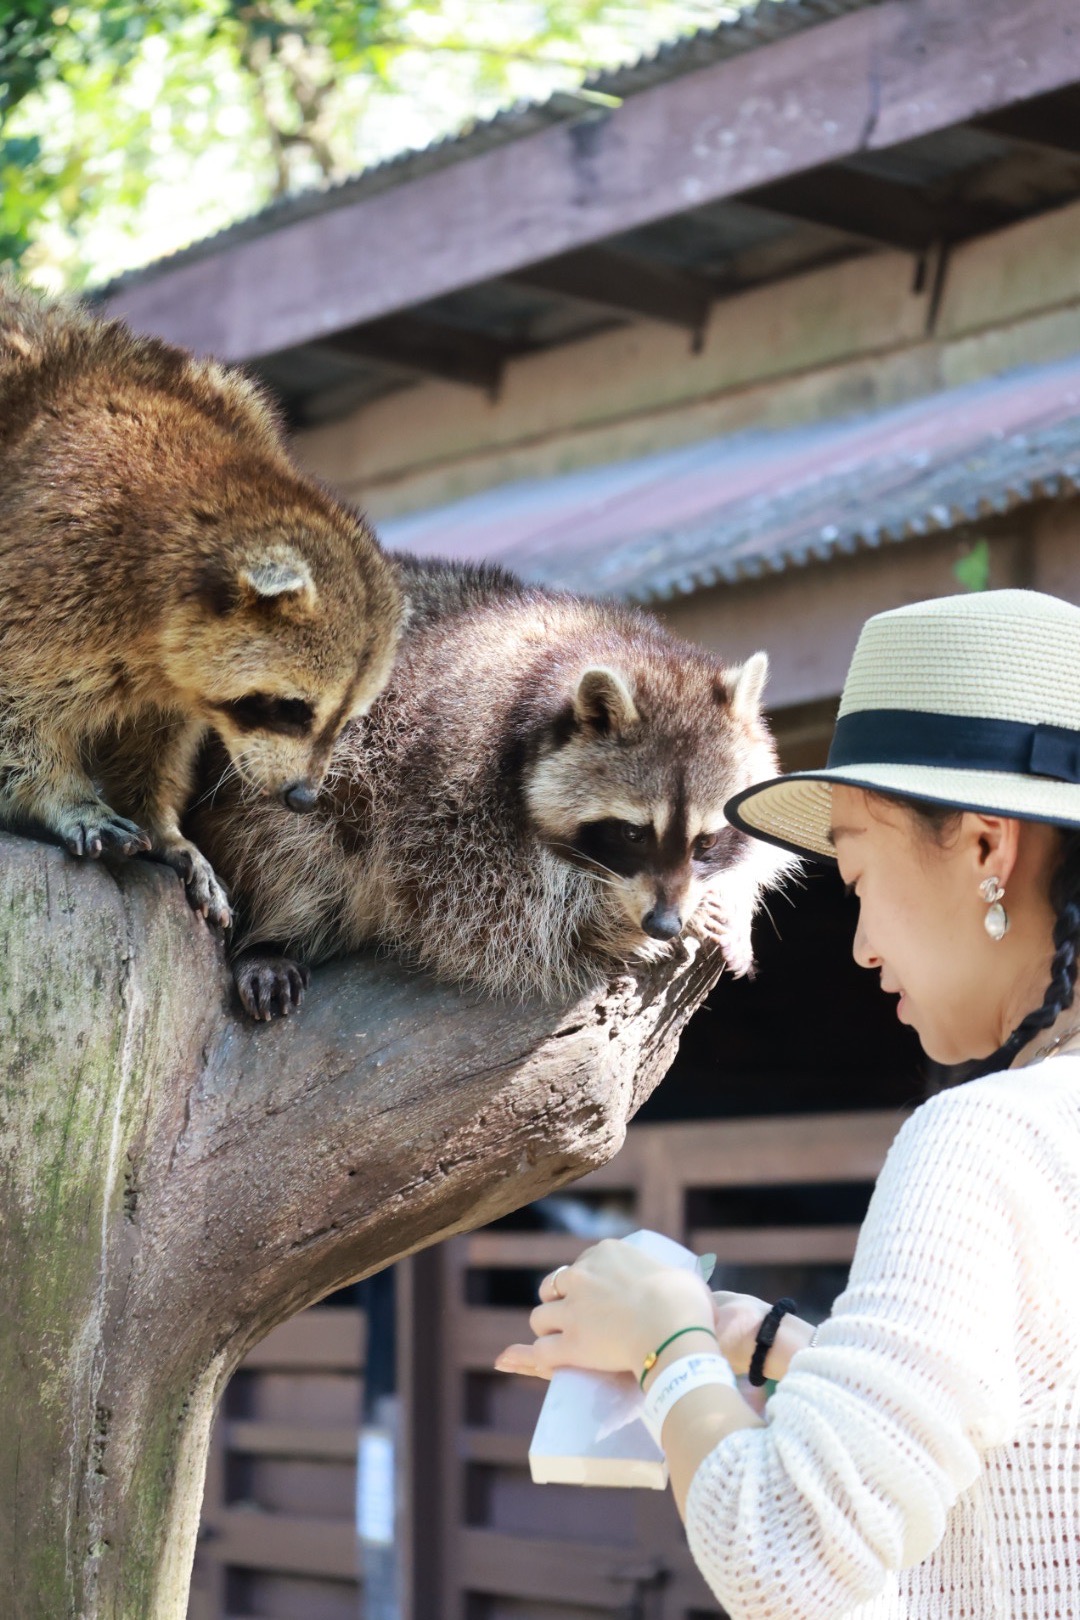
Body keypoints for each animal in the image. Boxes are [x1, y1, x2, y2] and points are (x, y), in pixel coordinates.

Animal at [0, 285, 403, 933]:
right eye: (292, 709)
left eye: (348, 720)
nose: (301, 797)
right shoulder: (50, 571)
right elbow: (15, 707)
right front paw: (60, 794)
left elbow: (156, 738)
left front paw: (163, 824)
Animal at [190, 554, 790, 1010]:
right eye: (633, 834)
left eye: (706, 842)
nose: (663, 922)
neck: (580, 649)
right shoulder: (449, 796)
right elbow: (496, 922)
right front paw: (615, 926)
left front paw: (729, 897)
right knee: (290, 848)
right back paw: (272, 938)